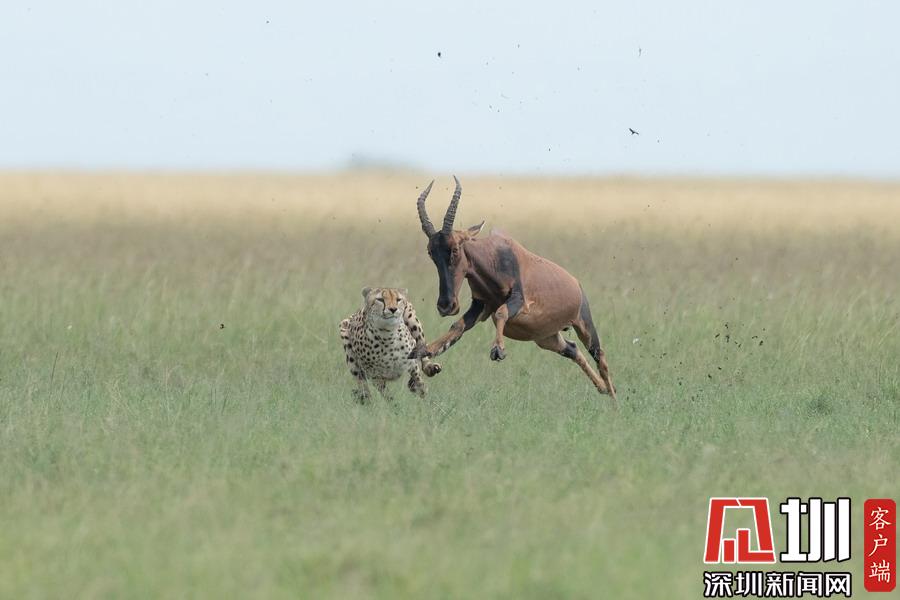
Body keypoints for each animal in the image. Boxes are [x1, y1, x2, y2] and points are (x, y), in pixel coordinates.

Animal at [412, 177, 617, 406]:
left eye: (455, 249)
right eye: (431, 252)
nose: (446, 305)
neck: (497, 256)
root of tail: (576, 284)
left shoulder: (519, 301)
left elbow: (501, 313)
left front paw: (498, 350)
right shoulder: (479, 305)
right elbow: (457, 327)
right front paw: (427, 351)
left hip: (583, 324)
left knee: (600, 357)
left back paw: (614, 402)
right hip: (546, 337)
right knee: (572, 349)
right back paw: (602, 388)